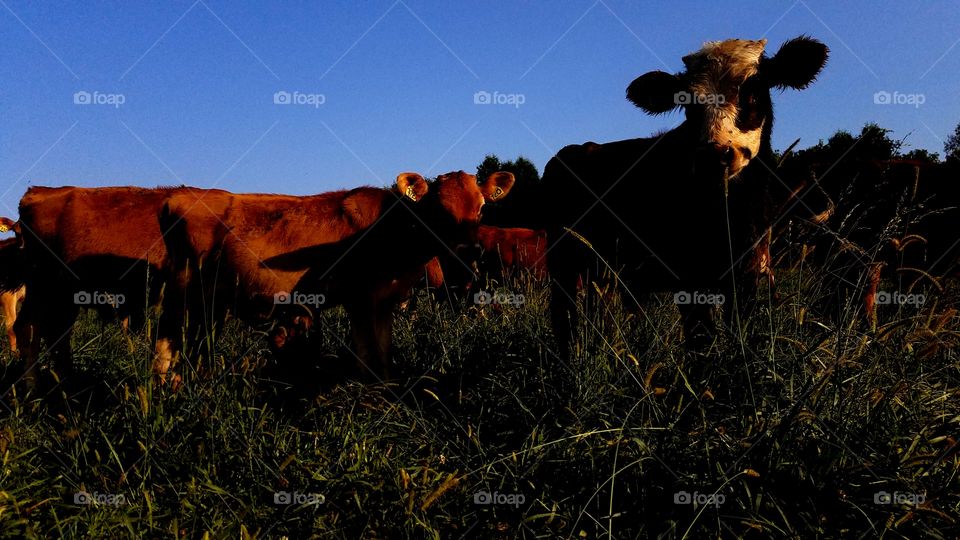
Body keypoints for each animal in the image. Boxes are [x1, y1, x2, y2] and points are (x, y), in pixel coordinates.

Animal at [10, 186, 209, 388]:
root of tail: (36, 192)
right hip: (42, 288)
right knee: (28, 329)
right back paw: (33, 389)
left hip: (62, 297)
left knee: (56, 334)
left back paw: (65, 383)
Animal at [154, 170, 514, 382]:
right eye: (438, 211)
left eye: (482, 208)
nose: (470, 250)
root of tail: (177, 196)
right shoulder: (360, 298)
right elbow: (366, 354)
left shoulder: (384, 301)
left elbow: (385, 352)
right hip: (183, 289)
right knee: (166, 340)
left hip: (211, 301)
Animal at [539, 36, 829, 358]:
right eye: (687, 103)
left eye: (753, 92)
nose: (714, 155)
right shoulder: (691, 278)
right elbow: (701, 340)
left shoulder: (749, 272)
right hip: (562, 261)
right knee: (564, 316)